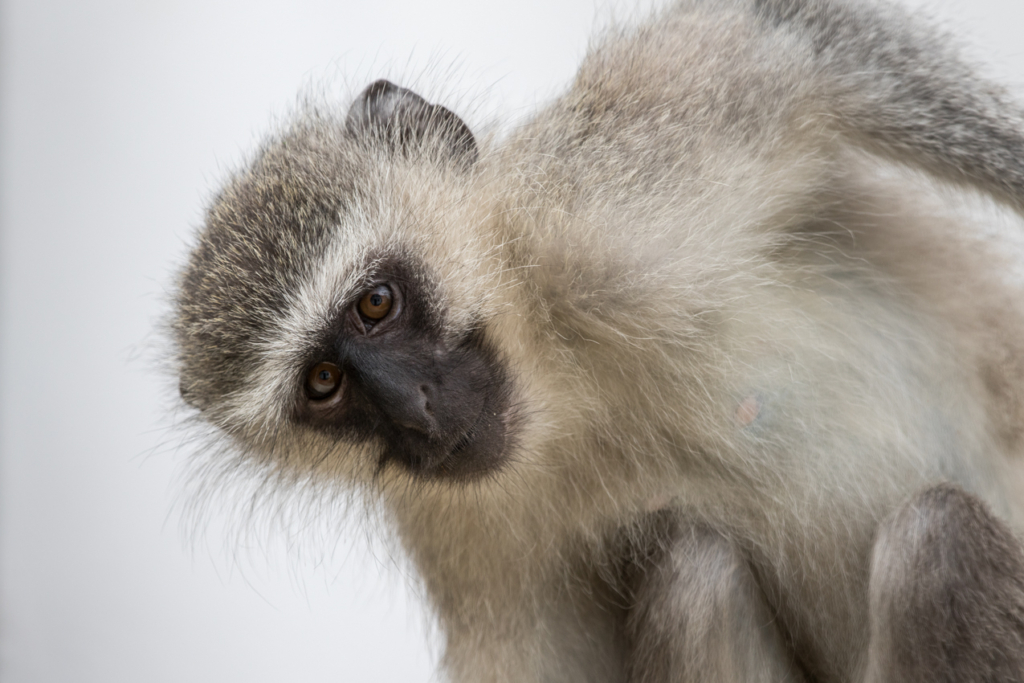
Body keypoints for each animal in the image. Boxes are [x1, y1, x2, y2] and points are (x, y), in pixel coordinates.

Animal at [172, 0, 1024, 679]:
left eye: (375, 304)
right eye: (324, 383)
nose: (415, 407)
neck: (563, 378)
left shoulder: (613, 192)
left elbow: (801, 38)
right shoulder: (459, 524)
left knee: (936, 543)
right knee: (694, 575)